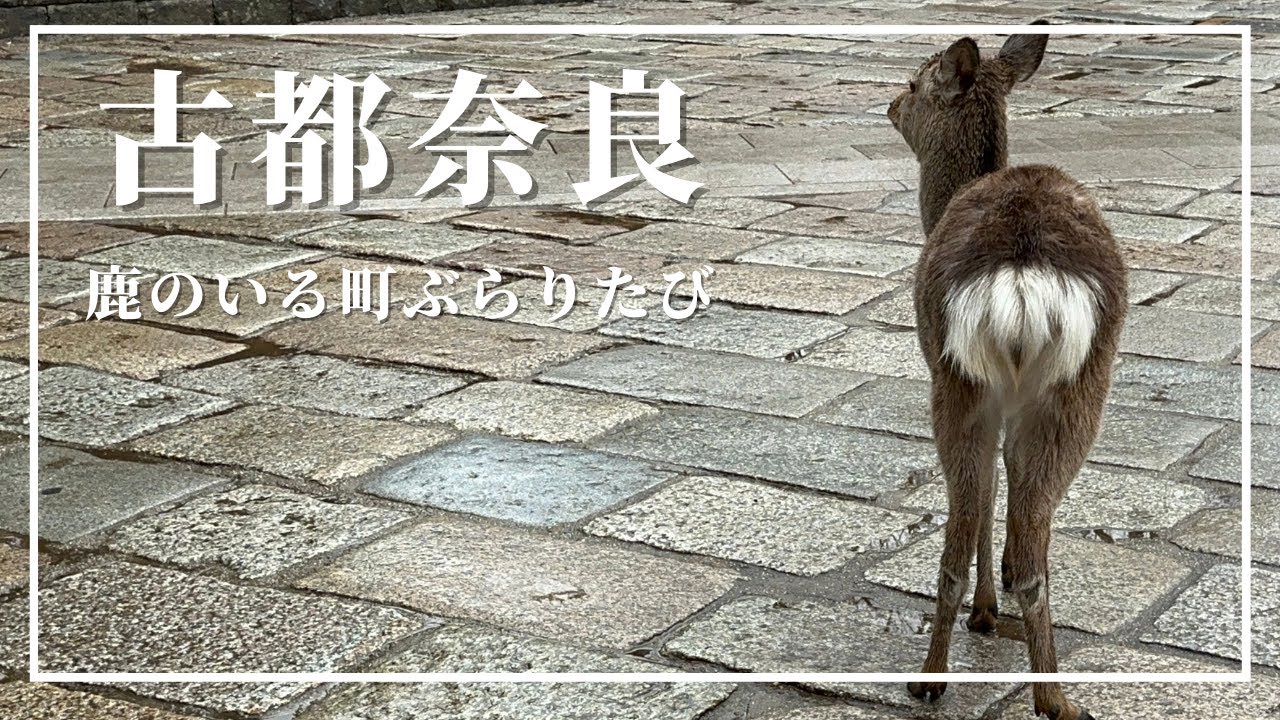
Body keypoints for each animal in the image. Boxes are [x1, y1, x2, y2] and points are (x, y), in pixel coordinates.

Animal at [886, 28, 1127, 720]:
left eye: (914, 83)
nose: (890, 104)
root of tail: (1020, 282)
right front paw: (988, 615)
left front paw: (985, 614)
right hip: (1065, 391)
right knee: (1021, 547)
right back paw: (1050, 696)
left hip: (958, 379)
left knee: (966, 538)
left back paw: (934, 678)